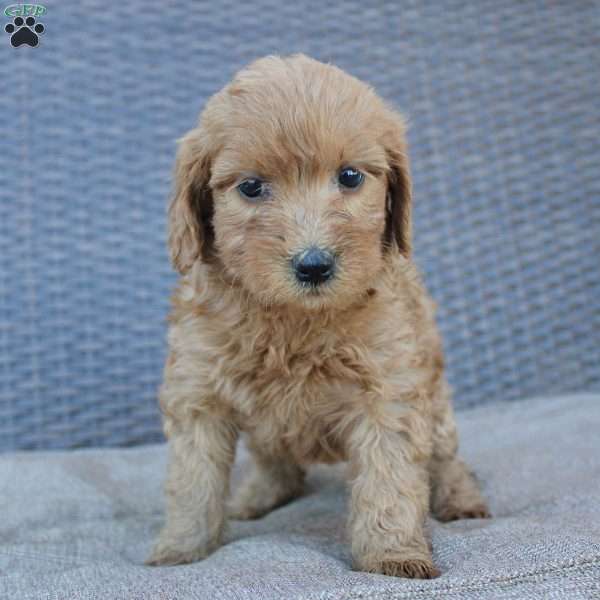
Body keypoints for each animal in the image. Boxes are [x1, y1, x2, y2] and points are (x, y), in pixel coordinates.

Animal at [148, 54, 490, 580]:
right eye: (251, 187)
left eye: (350, 177)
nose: (313, 265)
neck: (292, 321)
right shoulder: (197, 390)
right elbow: (192, 480)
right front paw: (181, 548)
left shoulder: (388, 389)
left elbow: (389, 482)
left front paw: (393, 555)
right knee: (277, 462)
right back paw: (256, 496)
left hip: (437, 404)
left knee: (445, 459)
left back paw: (461, 499)